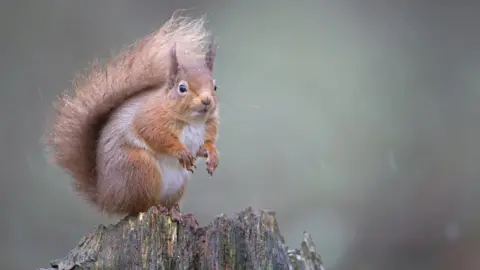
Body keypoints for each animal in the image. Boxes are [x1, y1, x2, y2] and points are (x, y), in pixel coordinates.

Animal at [46, 15, 218, 230]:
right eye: (182, 88)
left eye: (215, 87)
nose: (207, 101)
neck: (193, 121)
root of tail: (106, 197)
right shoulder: (148, 118)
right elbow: (155, 136)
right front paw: (181, 152)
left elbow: (204, 147)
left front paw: (213, 156)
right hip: (139, 169)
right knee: (138, 208)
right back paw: (157, 209)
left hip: (176, 184)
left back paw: (177, 213)